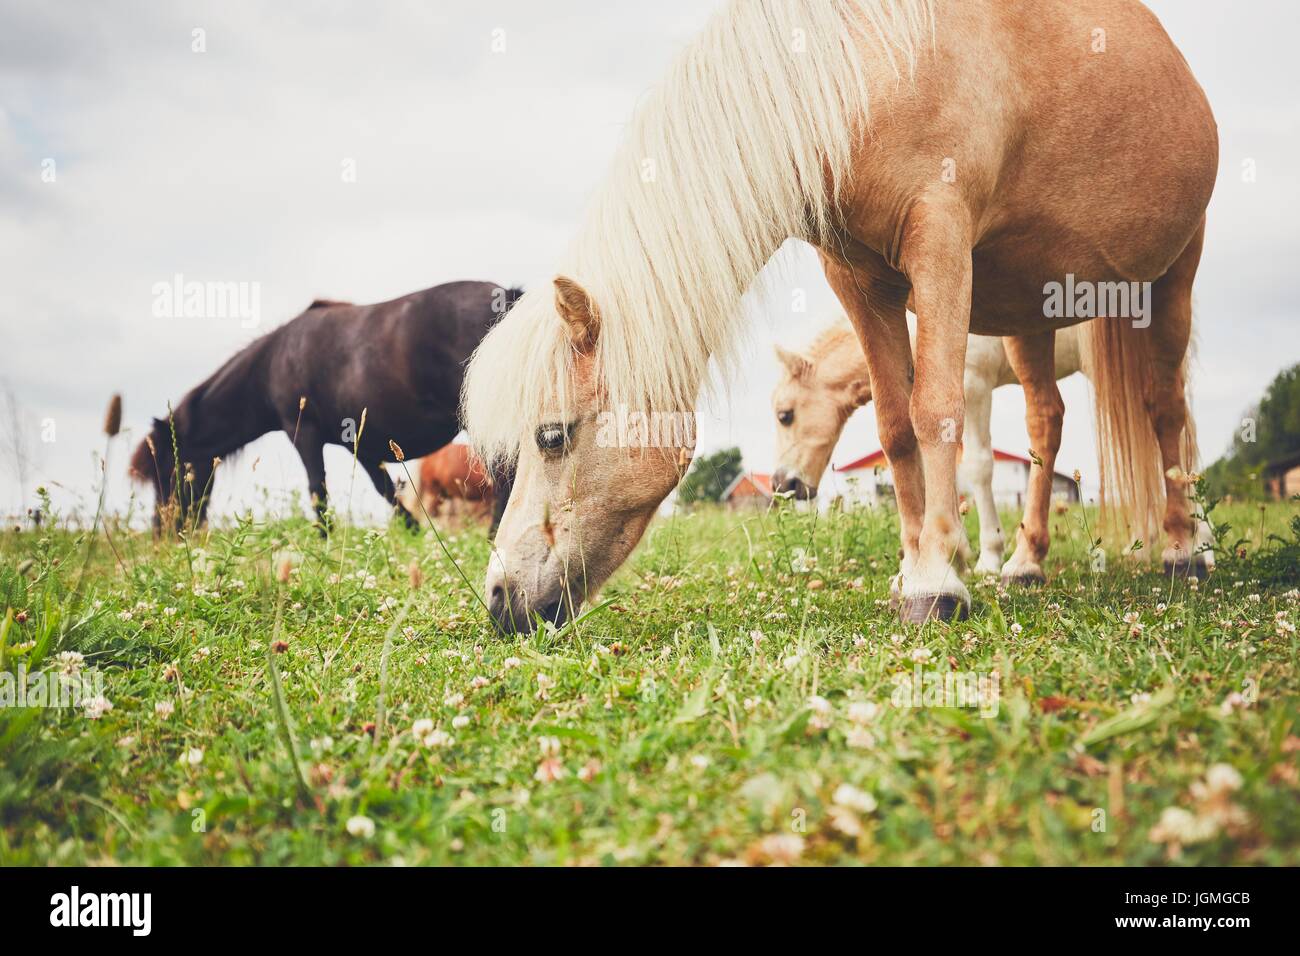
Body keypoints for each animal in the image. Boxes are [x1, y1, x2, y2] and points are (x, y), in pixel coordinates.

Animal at [131, 280, 521, 533]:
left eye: (167, 469)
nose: (162, 530)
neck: (271, 363)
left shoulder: (303, 432)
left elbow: (317, 490)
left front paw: (324, 538)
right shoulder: (363, 445)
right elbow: (386, 490)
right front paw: (412, 531)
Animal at [464, 0, 1217, 630]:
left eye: (552, 435)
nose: (499, 599)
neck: (864, 69)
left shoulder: (942, 244)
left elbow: (935, 412)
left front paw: (941, 580)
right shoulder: (859, 280)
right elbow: (895, 424)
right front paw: (917, 570)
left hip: (1174, 276)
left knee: (1167, 411)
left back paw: (1187, 548)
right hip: (1032, 313)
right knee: (1046, 425)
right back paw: (1028, 563)